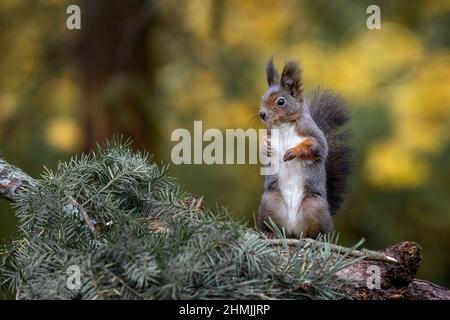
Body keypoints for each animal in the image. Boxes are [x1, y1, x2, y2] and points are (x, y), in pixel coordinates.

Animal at [256, 57, 352, 239]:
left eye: (281, 101)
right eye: (263, 97)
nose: (262, 114)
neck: (284, 125)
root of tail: (293, 230)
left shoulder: (313, 134)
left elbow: (316, 147)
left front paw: (293, 152)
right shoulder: (271, 132)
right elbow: (265, 143)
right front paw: (265, 146)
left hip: (313, 206)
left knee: (320, 231)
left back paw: (314, 238)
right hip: (270, 202)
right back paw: (270, 233)